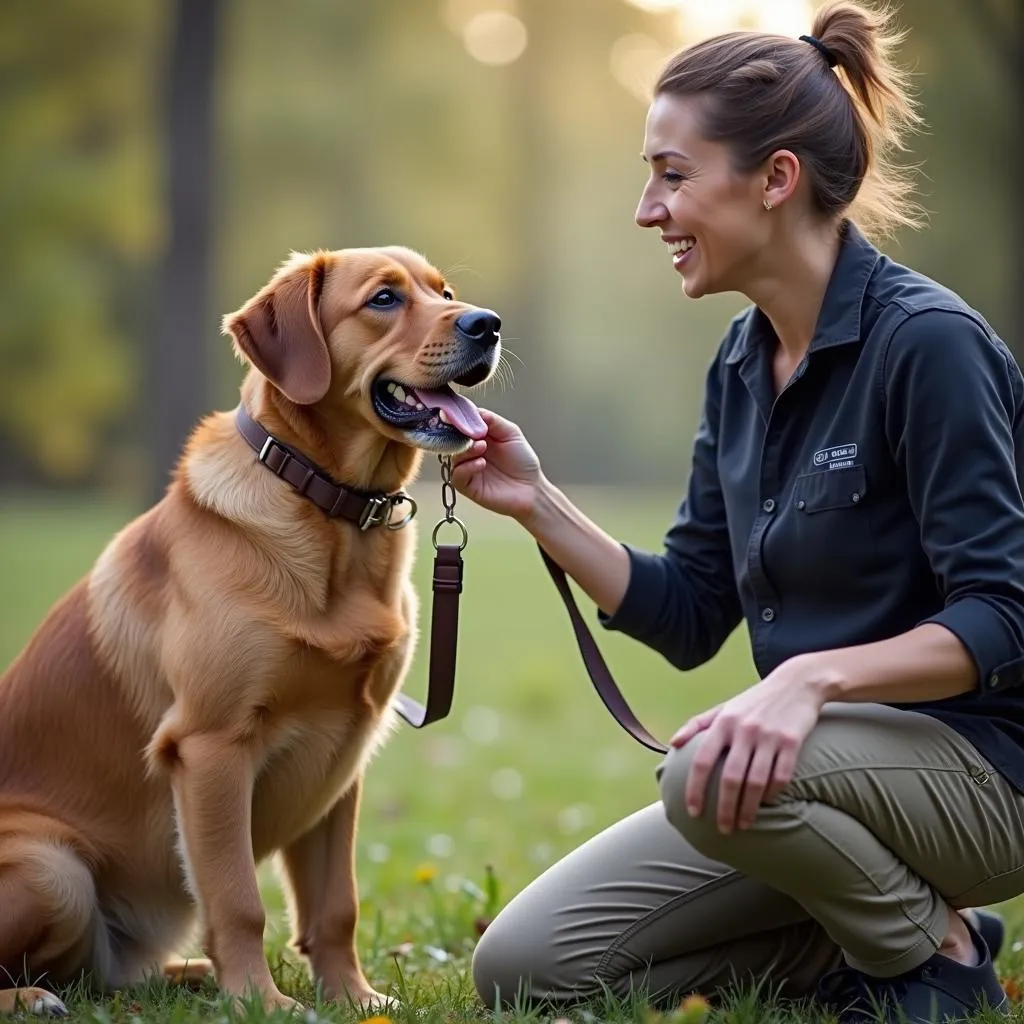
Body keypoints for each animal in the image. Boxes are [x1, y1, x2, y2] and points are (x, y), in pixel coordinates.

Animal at [0, 243, 499, 1011]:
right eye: (384, 299)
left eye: (445, 293)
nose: (489, 324)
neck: (333, 515)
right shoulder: (211, 746)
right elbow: (238, 901)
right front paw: (262, 1004)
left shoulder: (344, 750)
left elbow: (335, 906)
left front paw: (354, 1000)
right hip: (52, 868)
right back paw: (33, 998)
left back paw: (191, 976)